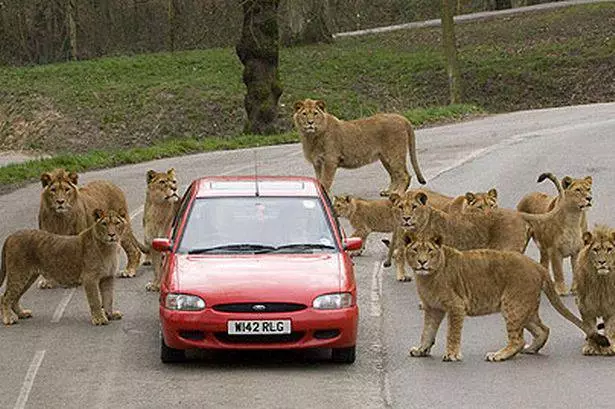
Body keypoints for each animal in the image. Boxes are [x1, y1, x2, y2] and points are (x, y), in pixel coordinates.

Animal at [292, 98, 426, 195]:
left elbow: (325, 181)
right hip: (385, 157)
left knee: (404, 175)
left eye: (315, 114)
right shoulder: (317, 163)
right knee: (394, 175)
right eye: (304, 114)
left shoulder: (330, 160)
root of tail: (401, 118)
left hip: (395, 154)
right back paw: (389, 192)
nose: (310, 123)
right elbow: (319, 180)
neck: (311, 136)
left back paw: (398, 193)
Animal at [402, 231, 608, 362]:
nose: (422, 262)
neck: (427, 277)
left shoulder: (456, 306)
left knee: (518, 340)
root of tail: (537, 266)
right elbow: (427, 331)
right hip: (524, 308)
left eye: (429, 251)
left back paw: (499, 355)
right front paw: (421, 350)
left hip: (512, 305)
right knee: (543, 329)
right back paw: (531, 349)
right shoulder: (432, 308)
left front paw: (451, 355)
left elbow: (452, 333)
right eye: (415, 250)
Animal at [572, 225, 615, 356]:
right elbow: (590, 328)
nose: (602, 262)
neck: (601, 283)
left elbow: (611, 328)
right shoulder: (585, 306)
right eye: (595, 250)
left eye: (609, 249)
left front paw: (609, 347)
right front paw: (592, 347)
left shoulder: (612, 307)